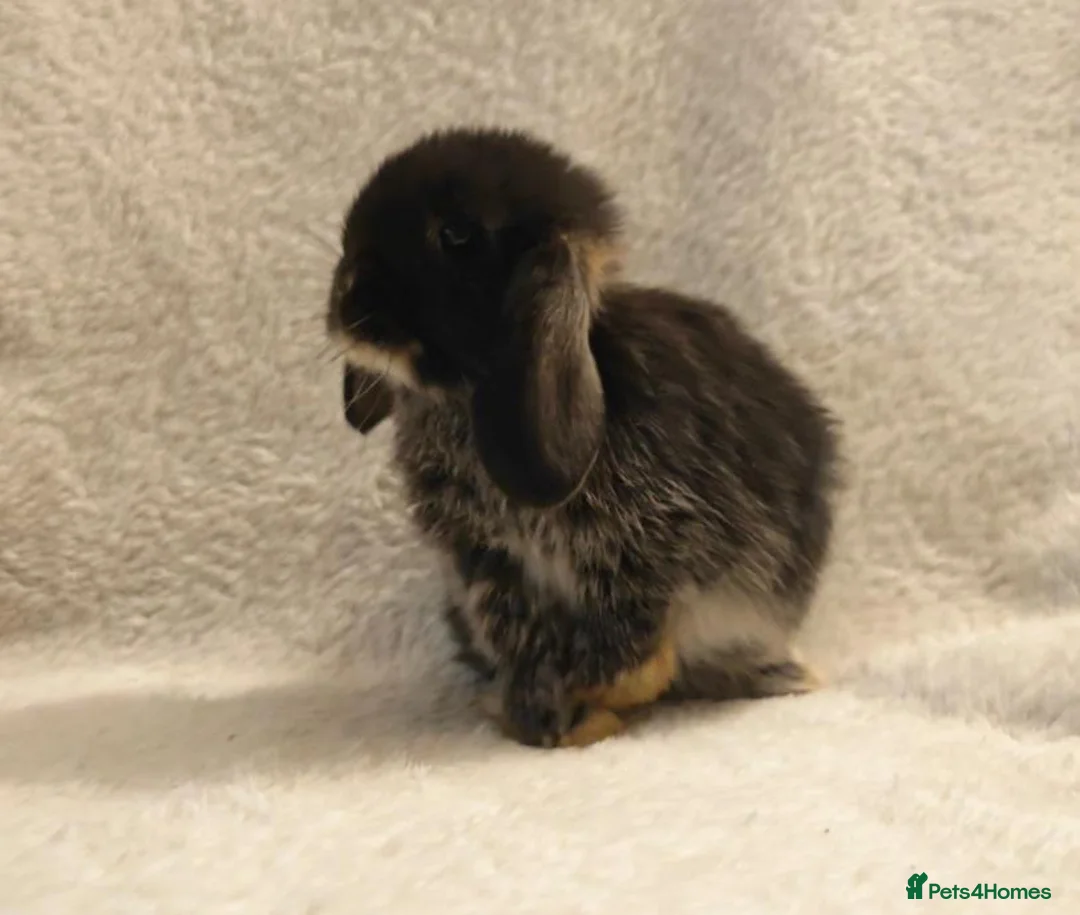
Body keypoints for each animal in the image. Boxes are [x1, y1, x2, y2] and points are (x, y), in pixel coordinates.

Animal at [325, 126, 841, 748]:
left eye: (456, 234)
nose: (345, 303)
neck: (459, 403)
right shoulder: (491, 563)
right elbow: (525, 643)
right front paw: (542, 718)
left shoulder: (645, 550)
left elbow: (628, 646)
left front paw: (586, 703)